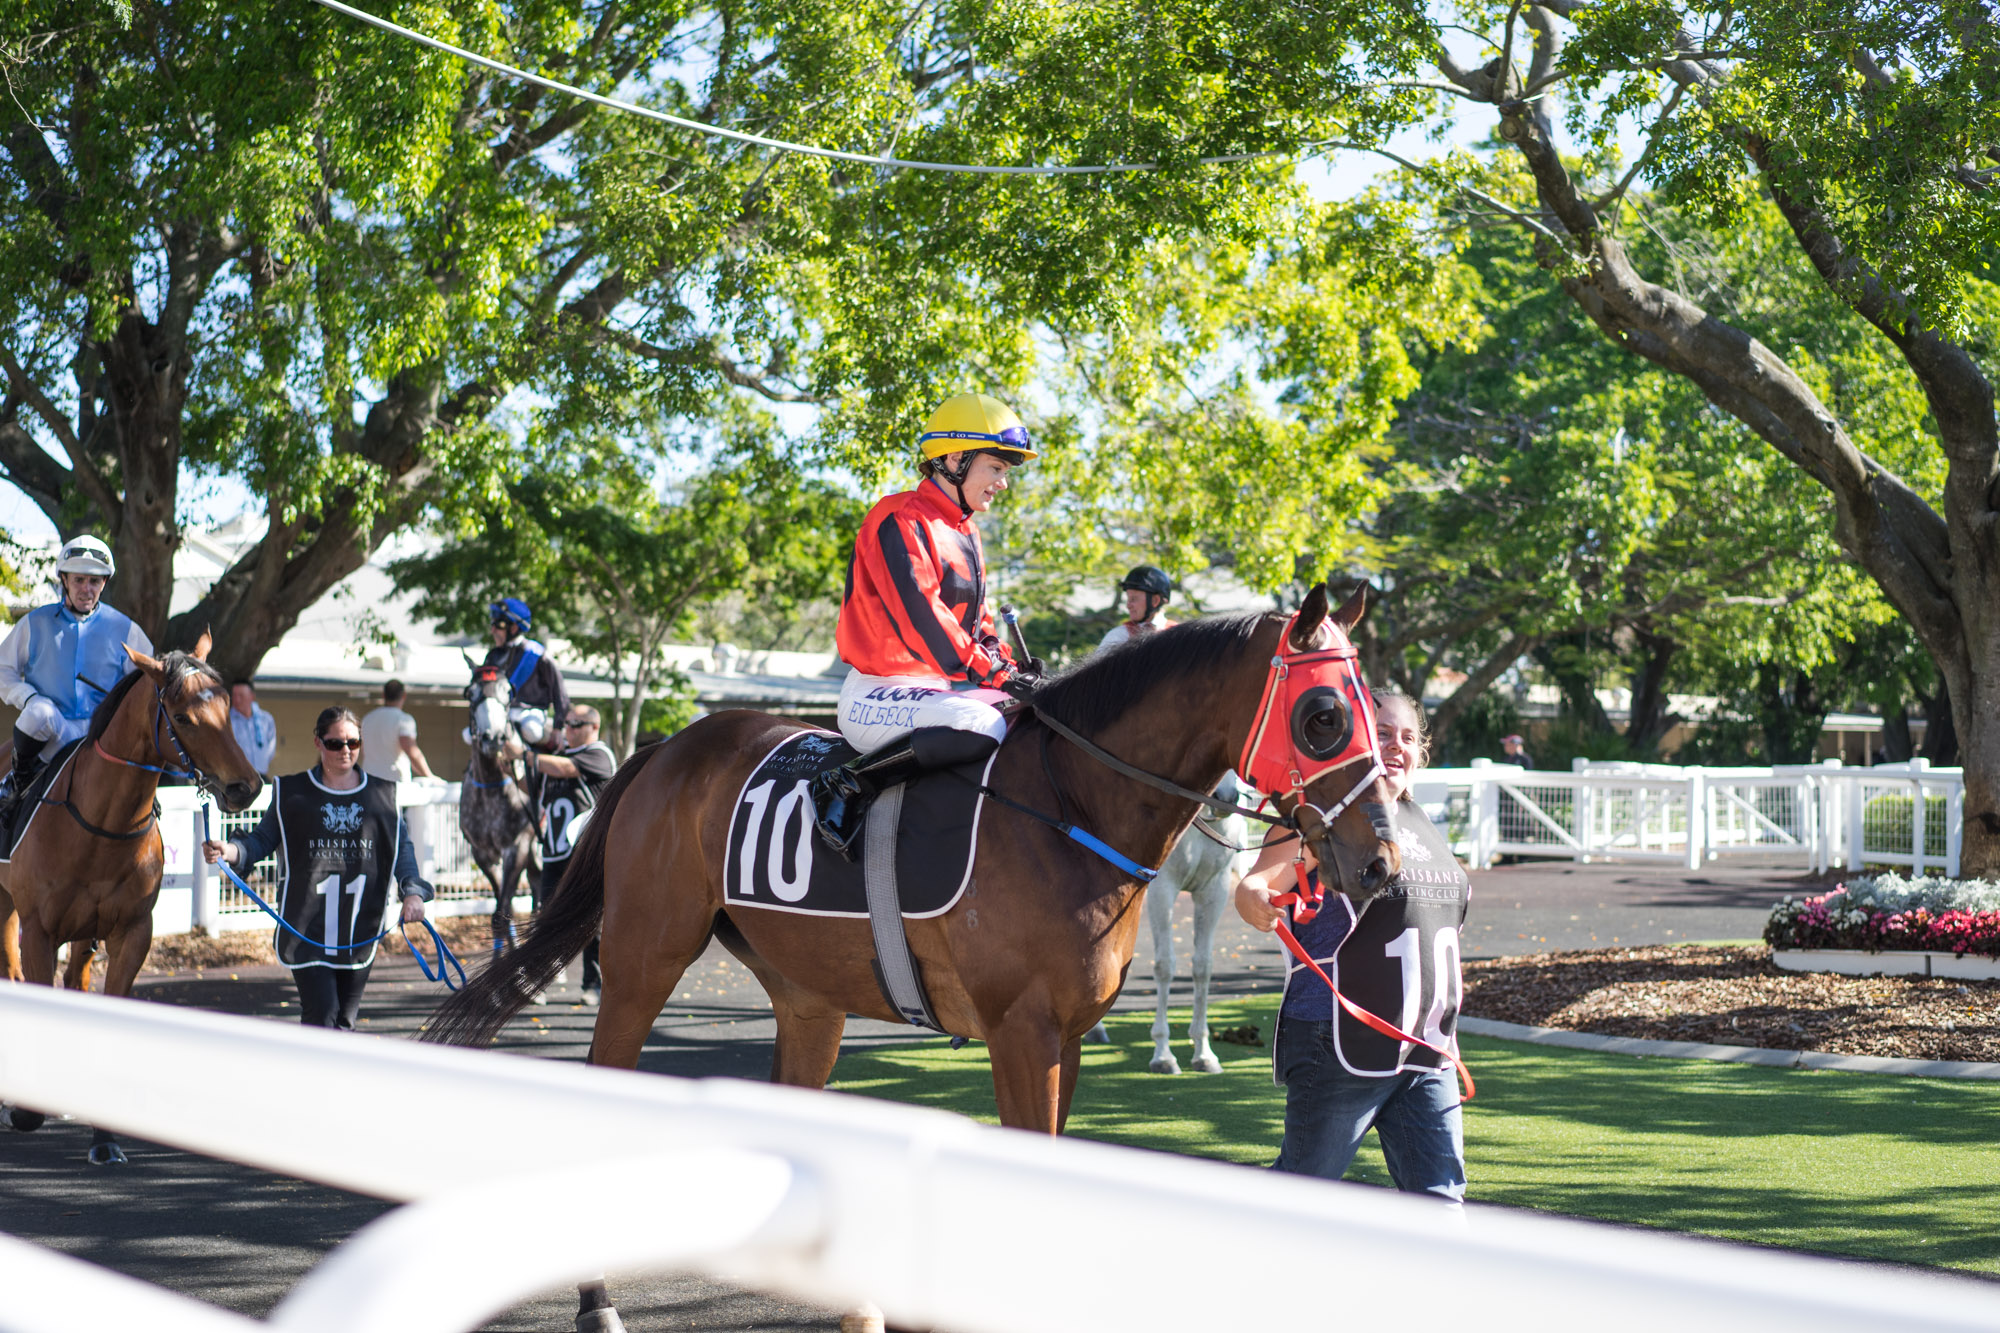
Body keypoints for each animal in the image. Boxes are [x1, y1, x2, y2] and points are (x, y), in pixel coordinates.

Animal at [0, 628, 262, 1160]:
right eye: (183, 717)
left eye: (227, 704)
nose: (245, 788)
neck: (99, 824)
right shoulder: (38, 931)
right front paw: (26, 1111)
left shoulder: (131, 931)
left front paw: (104, 1137)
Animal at [430, 580, 1400, 1128]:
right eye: (1323, 716)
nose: (1381, 863)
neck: (1069, 804)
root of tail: (671, 746)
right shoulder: (1022, 1032)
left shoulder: (1067, 1035)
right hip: (644, 955)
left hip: (806, 995)